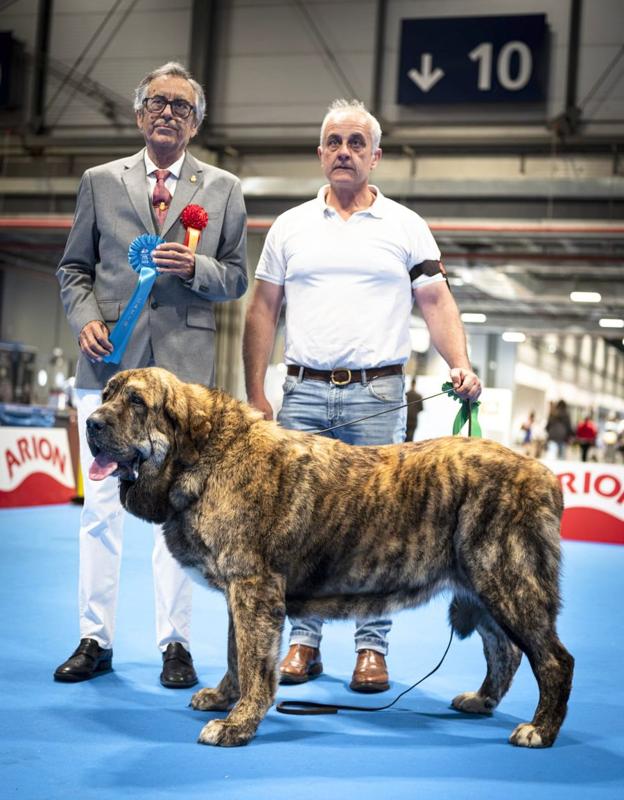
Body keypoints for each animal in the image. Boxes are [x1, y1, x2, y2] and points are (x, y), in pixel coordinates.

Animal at [85, 368, 572, 752]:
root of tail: (546, 475)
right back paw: (481, 700)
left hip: (508, 581)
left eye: (136, 401)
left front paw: (238, 724)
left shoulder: (253, 589)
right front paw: (224, 698)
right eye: (105, 394)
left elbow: (253, 662)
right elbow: (234, 654)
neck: (207, 455)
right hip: (483, 588)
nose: (90, 423)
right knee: (505, 650)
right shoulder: (239, 594)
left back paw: (540, 730)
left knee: (553, 660)